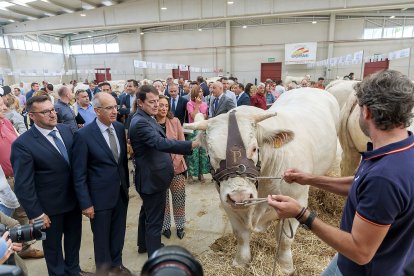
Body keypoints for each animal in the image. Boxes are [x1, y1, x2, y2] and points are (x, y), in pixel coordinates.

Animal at [184, 88, 340, 274]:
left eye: (254, 148)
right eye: (211, 153)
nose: (240, 196)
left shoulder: (297, 200)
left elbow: (285, 239)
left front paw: (285, 266)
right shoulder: (228, 203)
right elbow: (241, 234)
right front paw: (241, 262)